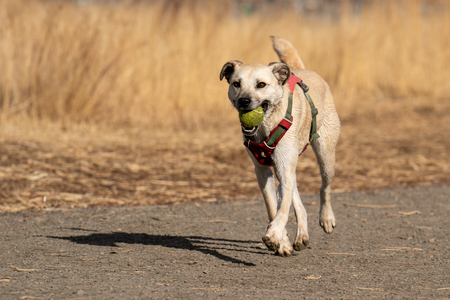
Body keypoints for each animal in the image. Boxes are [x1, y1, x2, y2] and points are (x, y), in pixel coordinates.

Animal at [220, 37, 340, 255]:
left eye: (261, 84)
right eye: (236, 84)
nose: (244, 101)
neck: (266, 126)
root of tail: (304, 70)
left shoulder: (284, 165)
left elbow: (282, 207)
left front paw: (274, 234)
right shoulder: (263, 170)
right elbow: (272, 207)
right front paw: (282, 241)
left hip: (325, 155)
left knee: (324, 187)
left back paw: (326, 218)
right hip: (287, 165)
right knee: (297, 200)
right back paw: (301, 236)